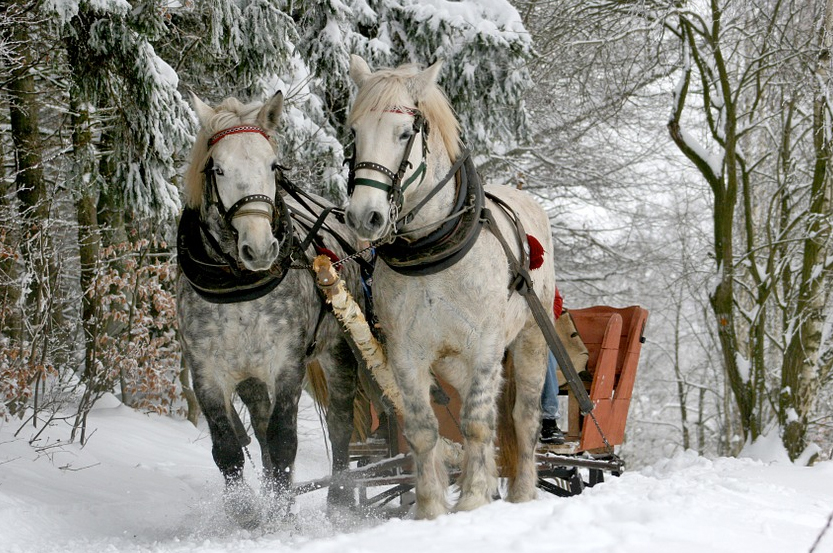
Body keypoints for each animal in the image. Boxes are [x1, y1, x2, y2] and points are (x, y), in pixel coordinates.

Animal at [342, 56, 556, 516]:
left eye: (405, 133)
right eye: (354, 132)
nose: (364, 216)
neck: (432, 252)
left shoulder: (486, 346)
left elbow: (476, 423)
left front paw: (473, 499)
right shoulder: (406, 353)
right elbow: (424, 429)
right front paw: (431, 508)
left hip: (531, 338)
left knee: (522, 417)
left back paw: (522, 492)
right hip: (453, 362)